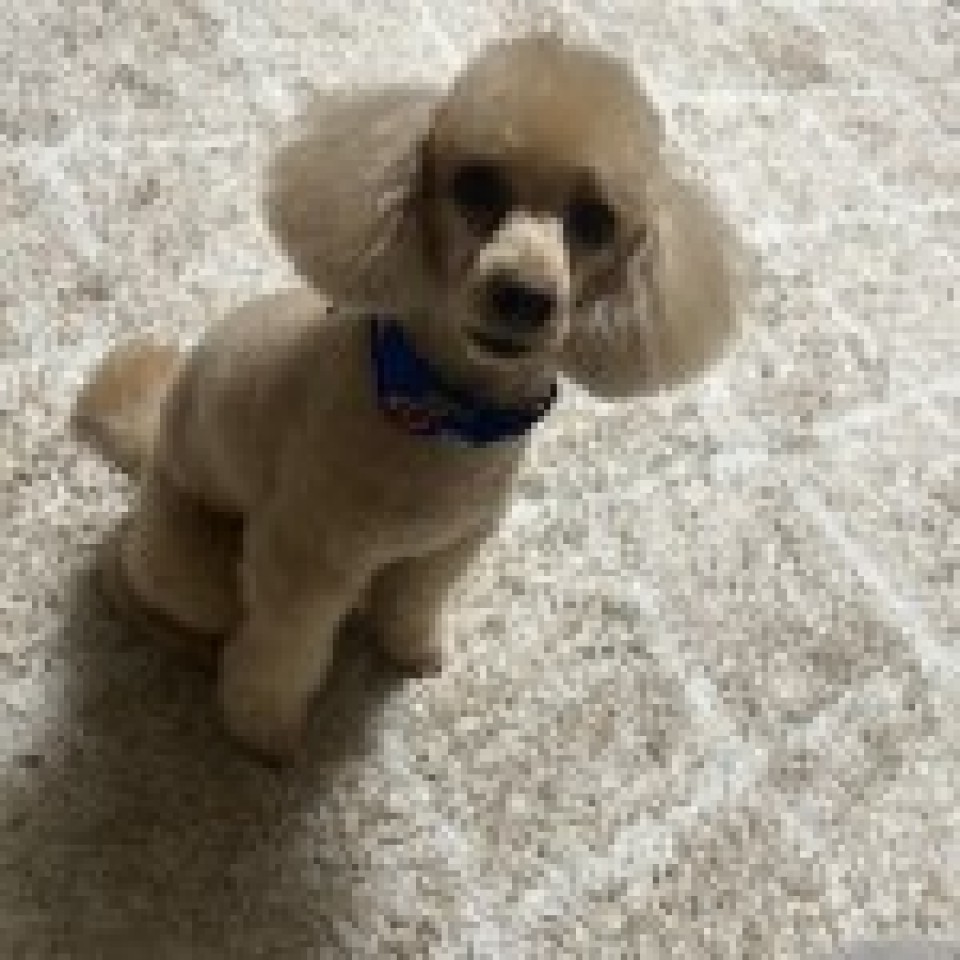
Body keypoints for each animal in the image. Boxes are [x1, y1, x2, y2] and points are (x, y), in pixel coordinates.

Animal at [73, 34, 743, 763]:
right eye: (476, 184)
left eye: (596, 220)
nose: (524, 296)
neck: (445, 406)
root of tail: (151, 445)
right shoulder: (301, 562)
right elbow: (281, 654)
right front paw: (263, 732)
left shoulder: (448, 545)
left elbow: (413, 605)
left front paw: (411, 654)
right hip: (198, 563)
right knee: (131, 583)